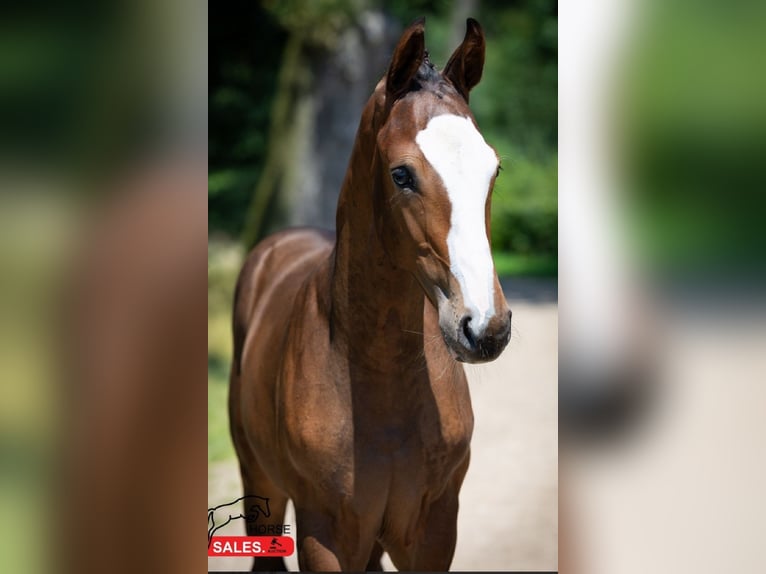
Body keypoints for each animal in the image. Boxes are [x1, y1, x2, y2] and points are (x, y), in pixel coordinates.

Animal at [231, 16, 512, 572]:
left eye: (493, 169)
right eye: (401, 174)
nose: (485, 326)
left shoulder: (433, 531)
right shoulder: (325, 536)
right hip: (261, 486)